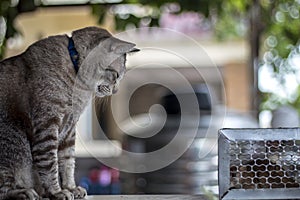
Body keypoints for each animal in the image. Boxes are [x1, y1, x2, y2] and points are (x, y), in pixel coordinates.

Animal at [0, 27, 138, 200]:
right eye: (117, 75)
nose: (116, 90)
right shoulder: (48, 124)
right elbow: (50, 163)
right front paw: (56, 191)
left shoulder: (69, 129)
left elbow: (67, 162)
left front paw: (70, 188)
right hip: (15, 142)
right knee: (4, 190)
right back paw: (23, 192)